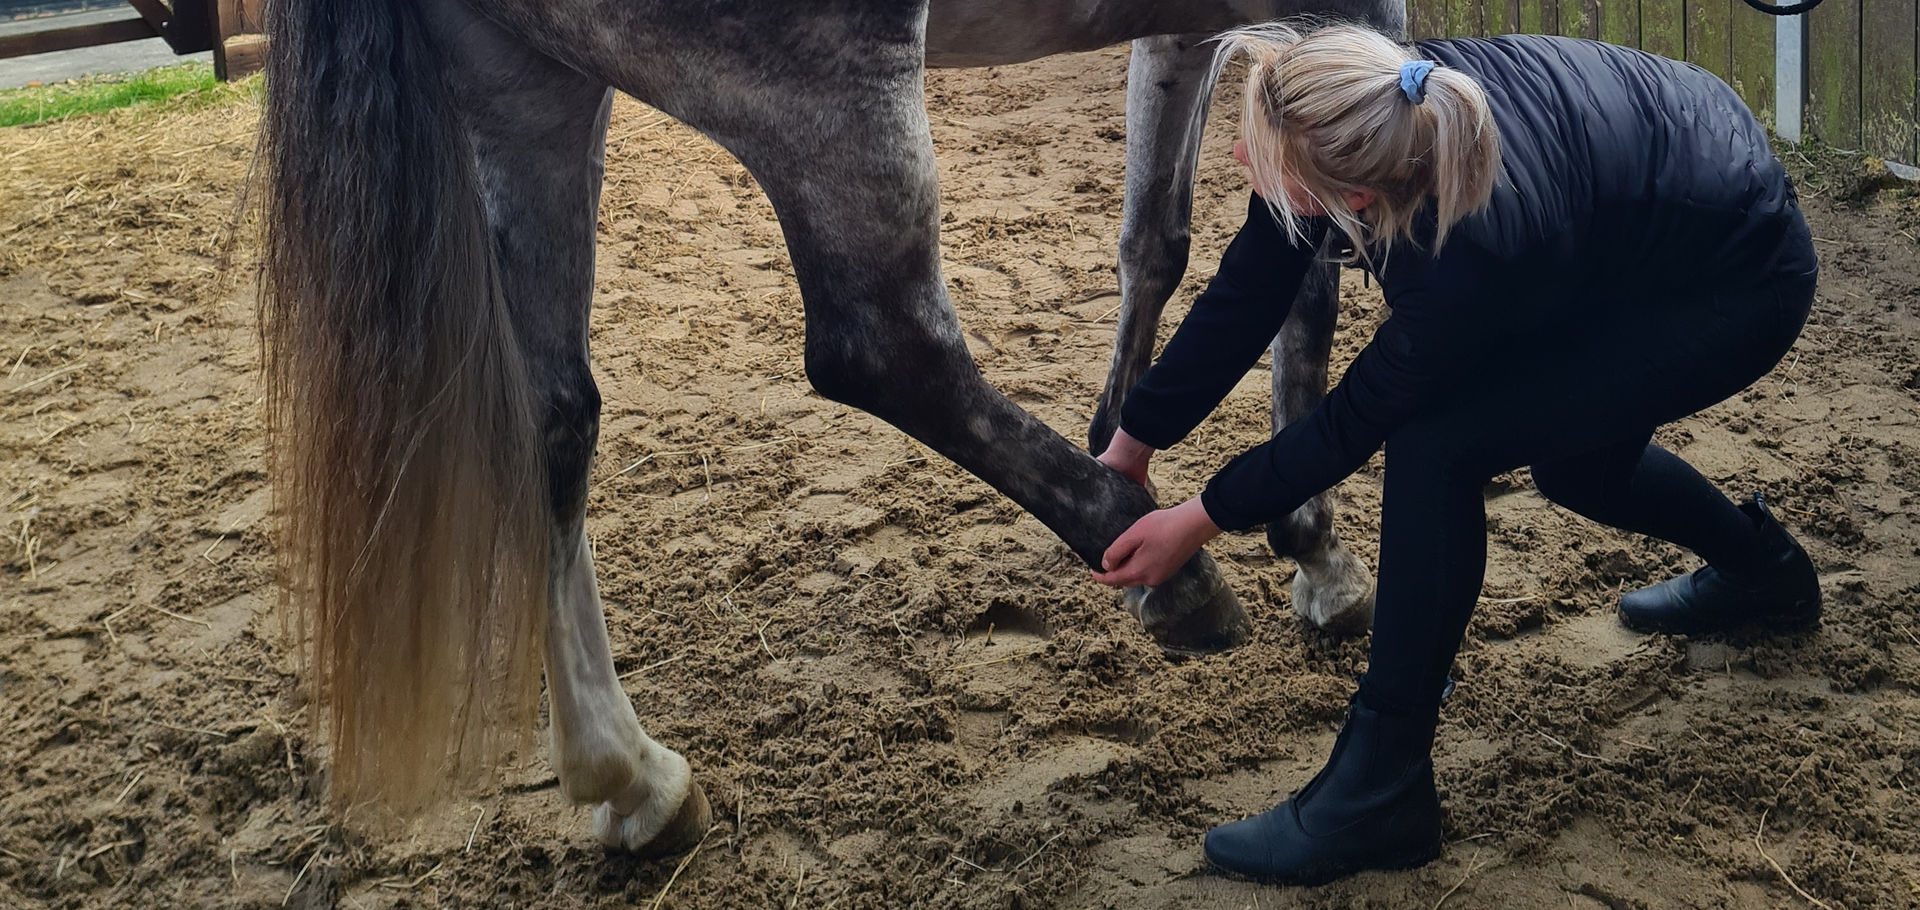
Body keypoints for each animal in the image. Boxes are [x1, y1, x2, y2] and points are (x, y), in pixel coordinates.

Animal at [257, 0, 1399, 856]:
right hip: (828, 81)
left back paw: (632, 777)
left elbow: (1159, 236)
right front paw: (1315, 548)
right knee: (883, 343)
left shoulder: (1185, 30)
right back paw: (1168, 569)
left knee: (551, 420)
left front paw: (1129, 426)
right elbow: (1315, 252)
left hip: (523, 91)